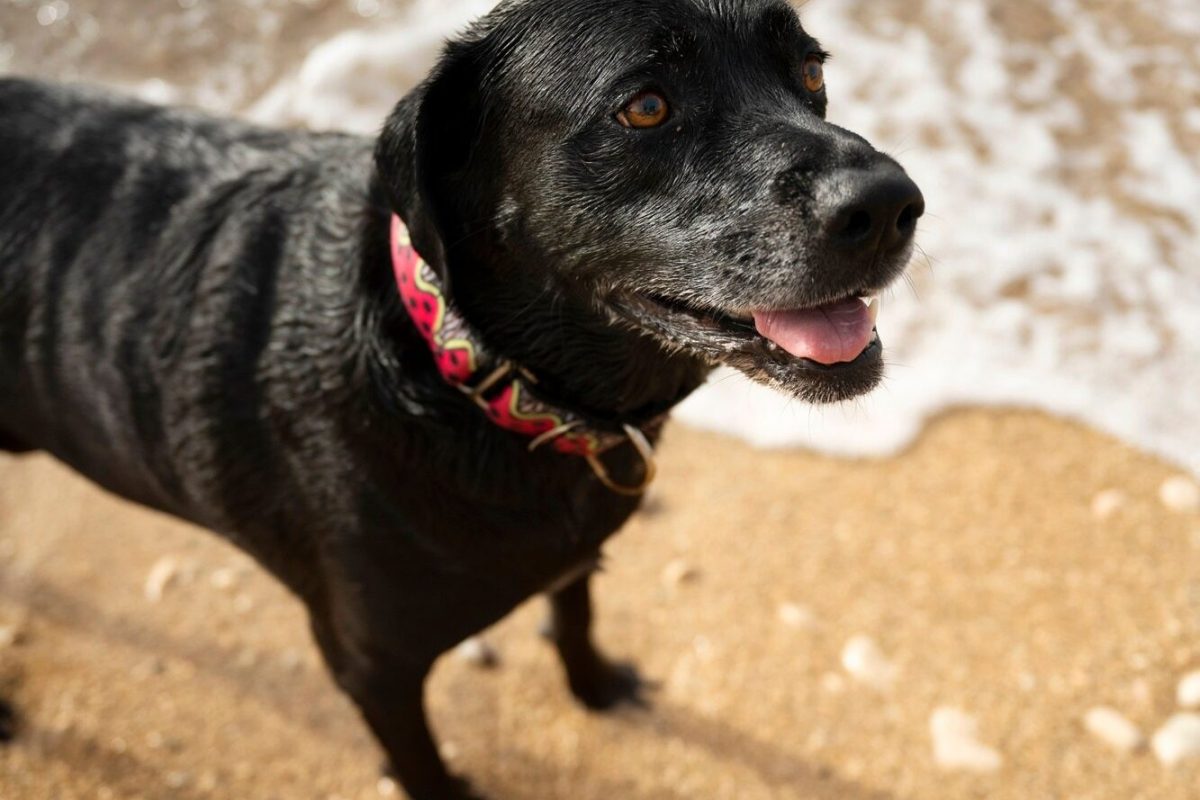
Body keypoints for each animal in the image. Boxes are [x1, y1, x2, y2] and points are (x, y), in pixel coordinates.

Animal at [0, 3, 921, 796]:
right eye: (647, 107)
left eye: (810, 70)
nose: (890, 205)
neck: (475, 374)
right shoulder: (371, 666)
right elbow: (420, 762)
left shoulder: (574, 551)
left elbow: (575, 617)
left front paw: (597, 689)